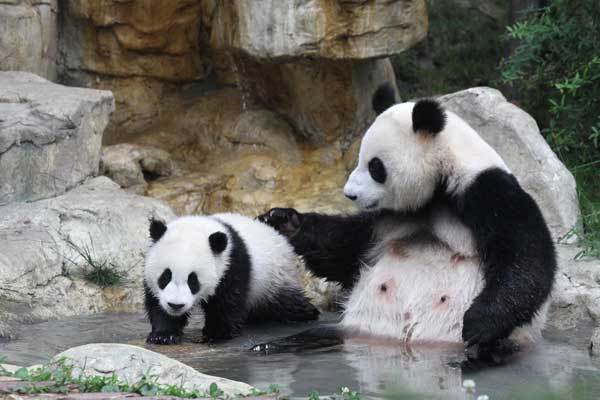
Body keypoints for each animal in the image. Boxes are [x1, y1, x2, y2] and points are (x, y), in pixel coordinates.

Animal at [144, 212, 322, 344]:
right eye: (165, 276)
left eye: (193, 281)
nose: (175, 305)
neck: (199, 227)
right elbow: (156, 303)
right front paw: (164, 335)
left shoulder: (231, 263)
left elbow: (228, 301)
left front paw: (216, 334)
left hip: (275, 278)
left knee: (287, 302)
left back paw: (307, 314)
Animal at [255, 86, 556, 354]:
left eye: (375, 166)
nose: (349, 194)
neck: (438, 188)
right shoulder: (387, 219)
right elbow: (344, 250)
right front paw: (283, 220)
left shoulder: (486, 192)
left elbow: (525, 257)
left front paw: (477, 323)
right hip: (351, 329)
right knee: (309, 336)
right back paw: (268, 346)